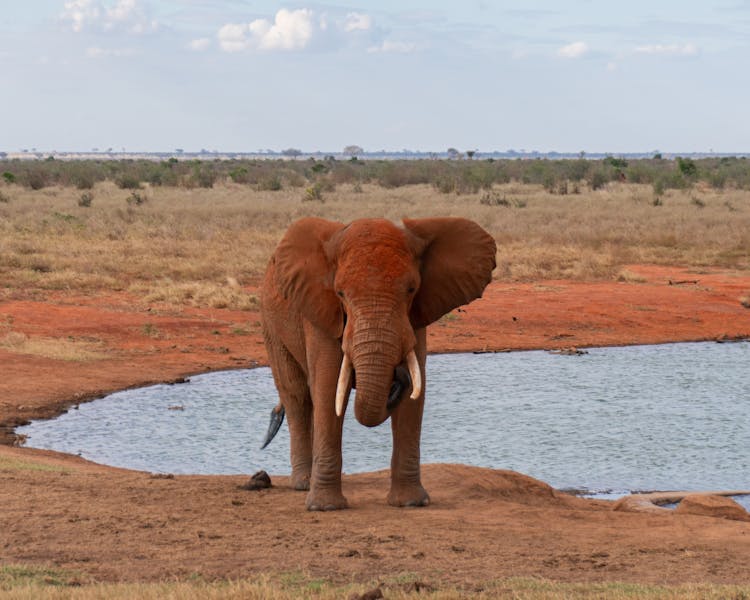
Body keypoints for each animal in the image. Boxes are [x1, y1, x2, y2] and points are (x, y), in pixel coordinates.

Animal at [260, 218, 500, 508]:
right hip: (271, 323)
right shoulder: (322, 311)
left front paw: (410, 503)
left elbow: (415, 394)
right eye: (340, 293)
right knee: (298, 396)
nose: (397, 376)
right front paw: (325, 507)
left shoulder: (415, 317)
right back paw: (303, 484)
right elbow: (328, 387)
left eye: (411, 290)